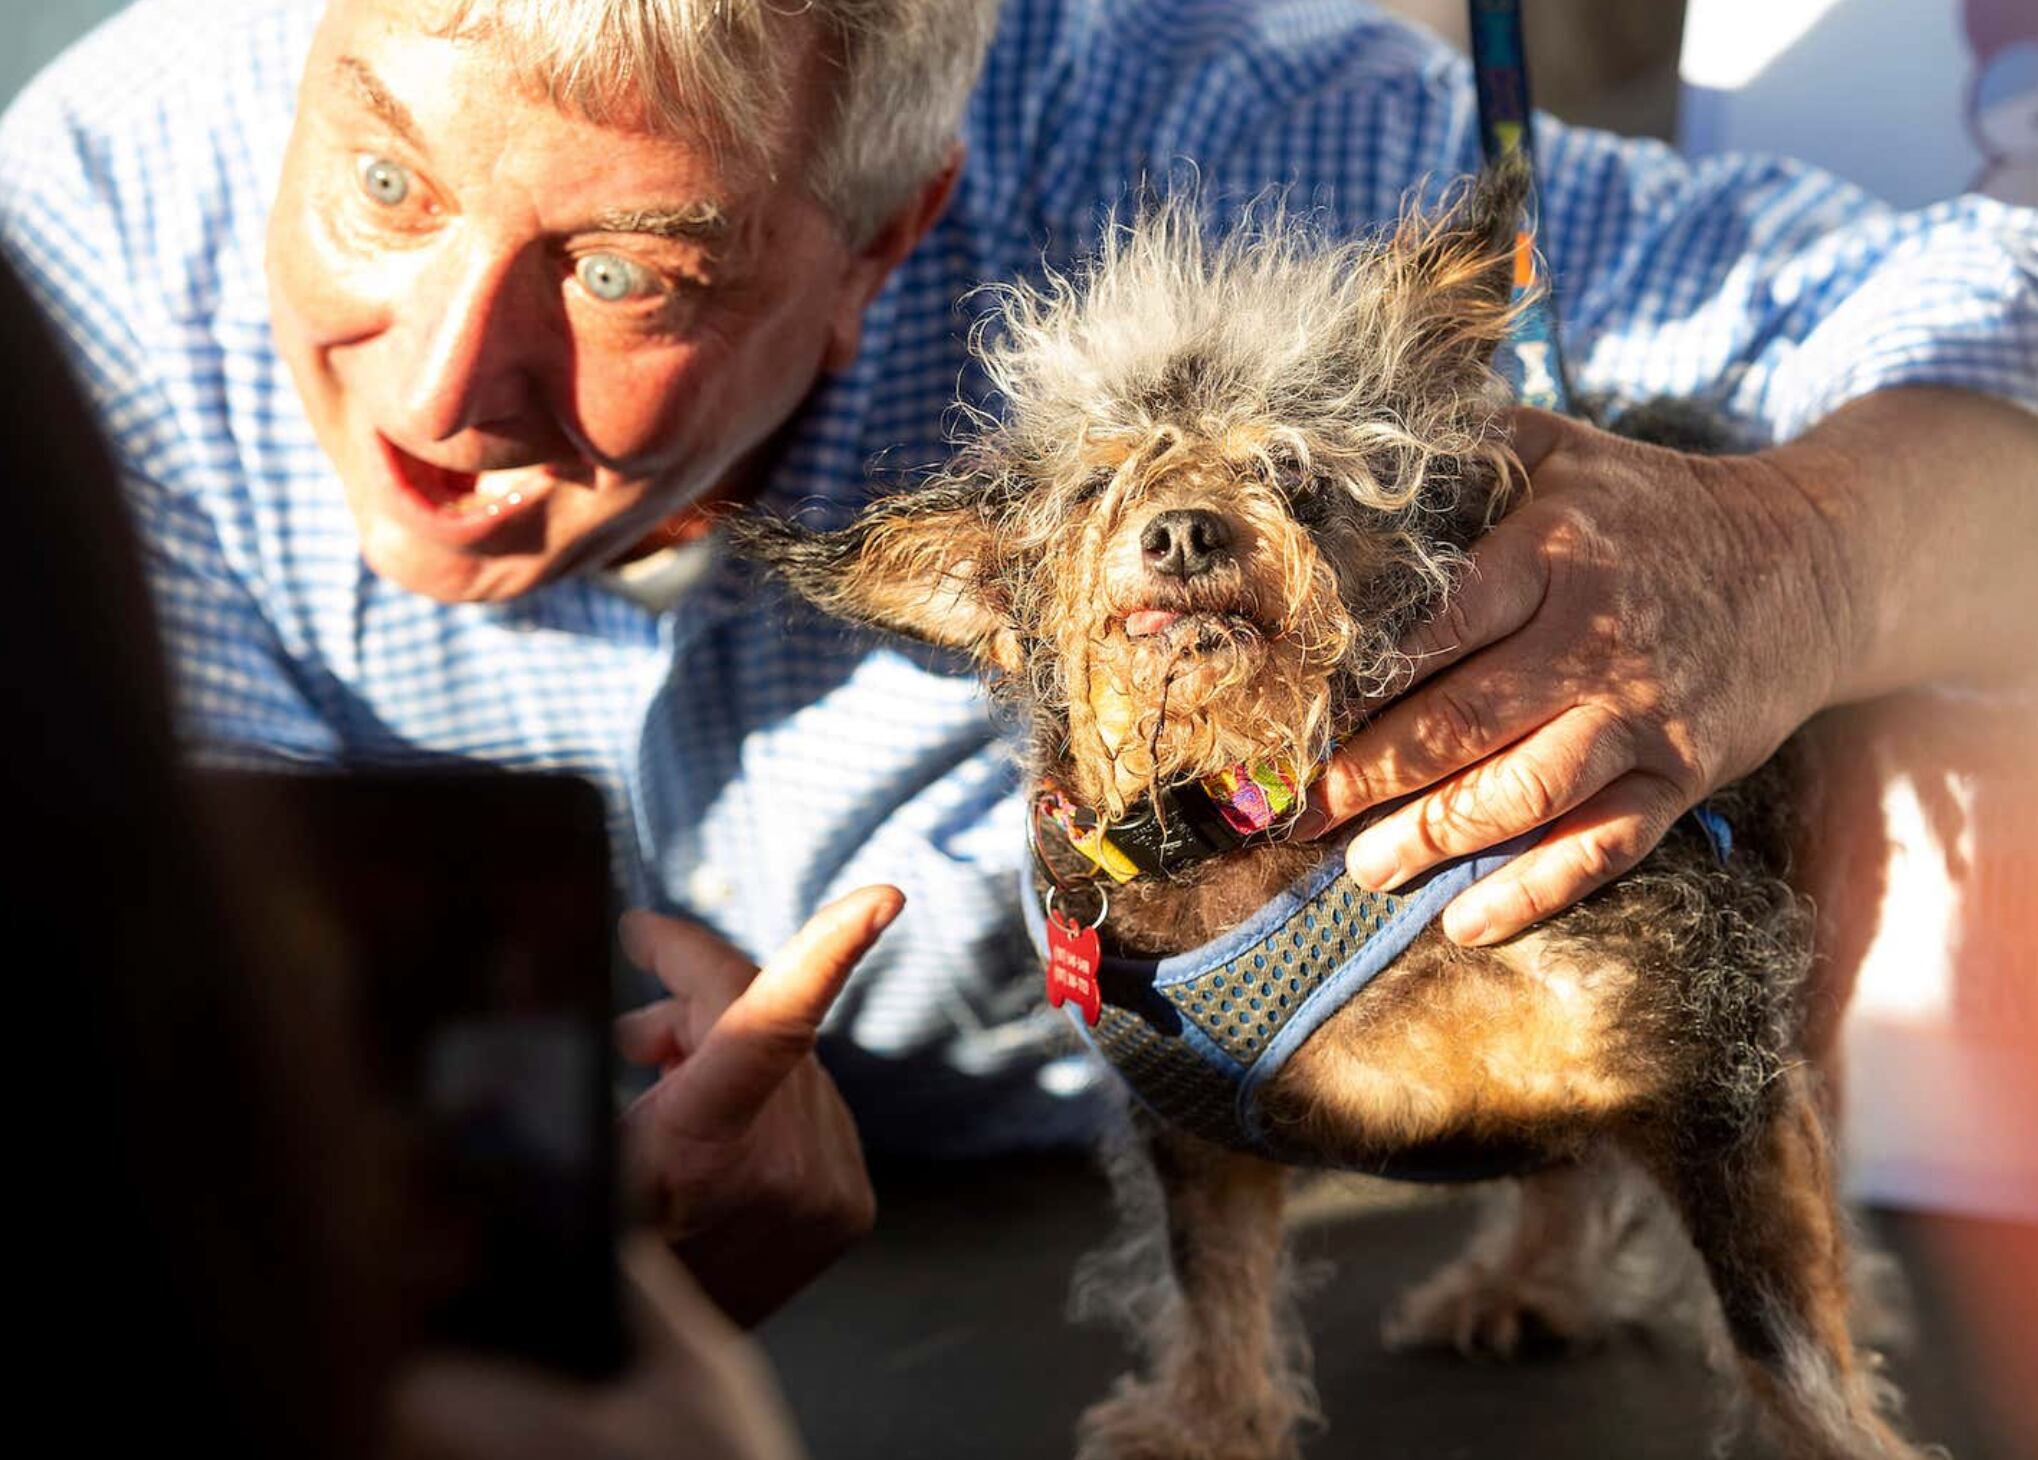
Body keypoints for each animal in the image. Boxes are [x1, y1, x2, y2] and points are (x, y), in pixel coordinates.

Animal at [737, 171, 1923, 1460]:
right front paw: (1203, 1420)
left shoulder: (1711, 1053)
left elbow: (1782, 1339)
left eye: (1295, 471)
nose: (1183, 529)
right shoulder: (1190, 1132)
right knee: (1563, 1170)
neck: (1247, 809)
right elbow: (1213, 1279)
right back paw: (1525, 1280)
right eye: (1099, 483)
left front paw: (1829, 1425)